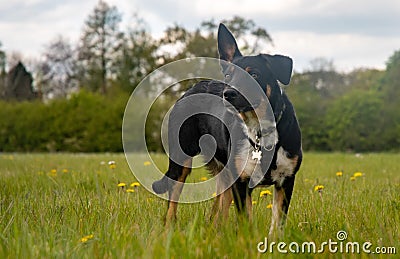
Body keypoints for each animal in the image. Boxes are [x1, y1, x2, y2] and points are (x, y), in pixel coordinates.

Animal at [152, 23, 302, 237]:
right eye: (229, 75)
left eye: (254, 74)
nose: (228, 93)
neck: (259, 130)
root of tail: (190, 90)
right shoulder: (242, 182)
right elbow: (245, 221)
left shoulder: (286, 180)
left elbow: (277, 223)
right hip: (181, 160)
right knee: (173, 201)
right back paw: (169, 232)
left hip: (225, 173)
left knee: (219, 208)